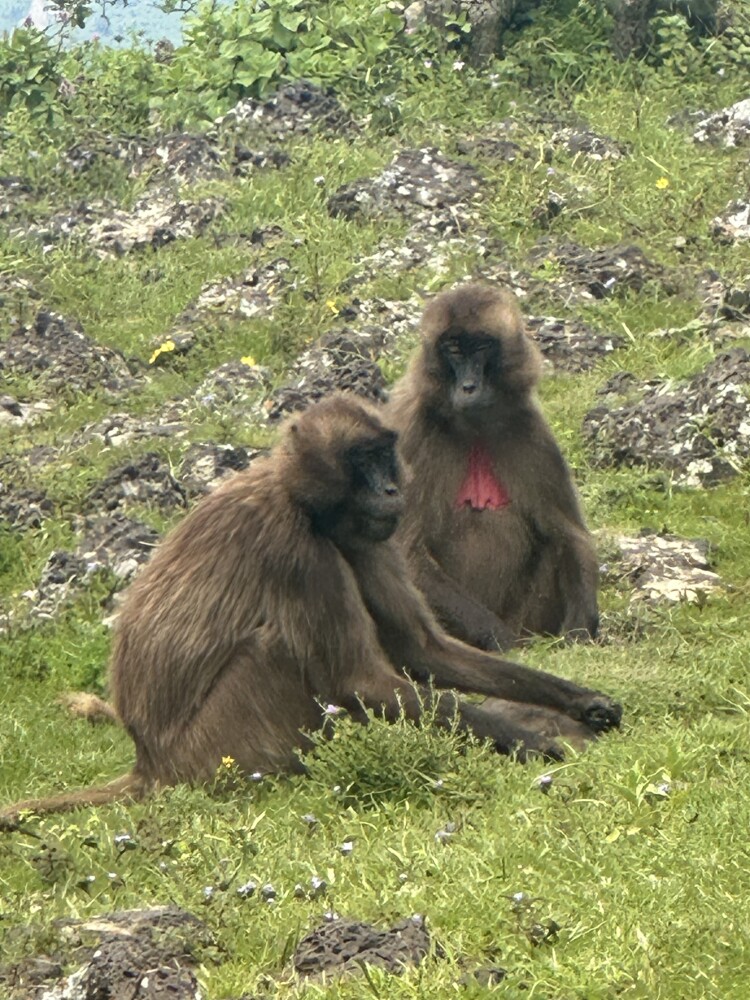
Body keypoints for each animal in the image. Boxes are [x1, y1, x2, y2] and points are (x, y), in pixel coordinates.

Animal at [0, 395, 619, 830]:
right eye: (362, 461)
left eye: (384, 456)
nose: (392, 490)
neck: (301, 500)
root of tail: (149, 762)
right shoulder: (299, 553)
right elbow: (361, 681)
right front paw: (531, 738)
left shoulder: (369, 536)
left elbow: (423, 649)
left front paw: (581, 701)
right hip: (217, 748)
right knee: (274, 646)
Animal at [387, 283, 600, 652]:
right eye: (454, 350)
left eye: (482, 347)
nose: (468, 387)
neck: (473, 427)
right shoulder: (410, 433)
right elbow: (406, 552)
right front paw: (498, 638)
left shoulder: (531, 430)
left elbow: (571, 536)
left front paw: (580, 631)